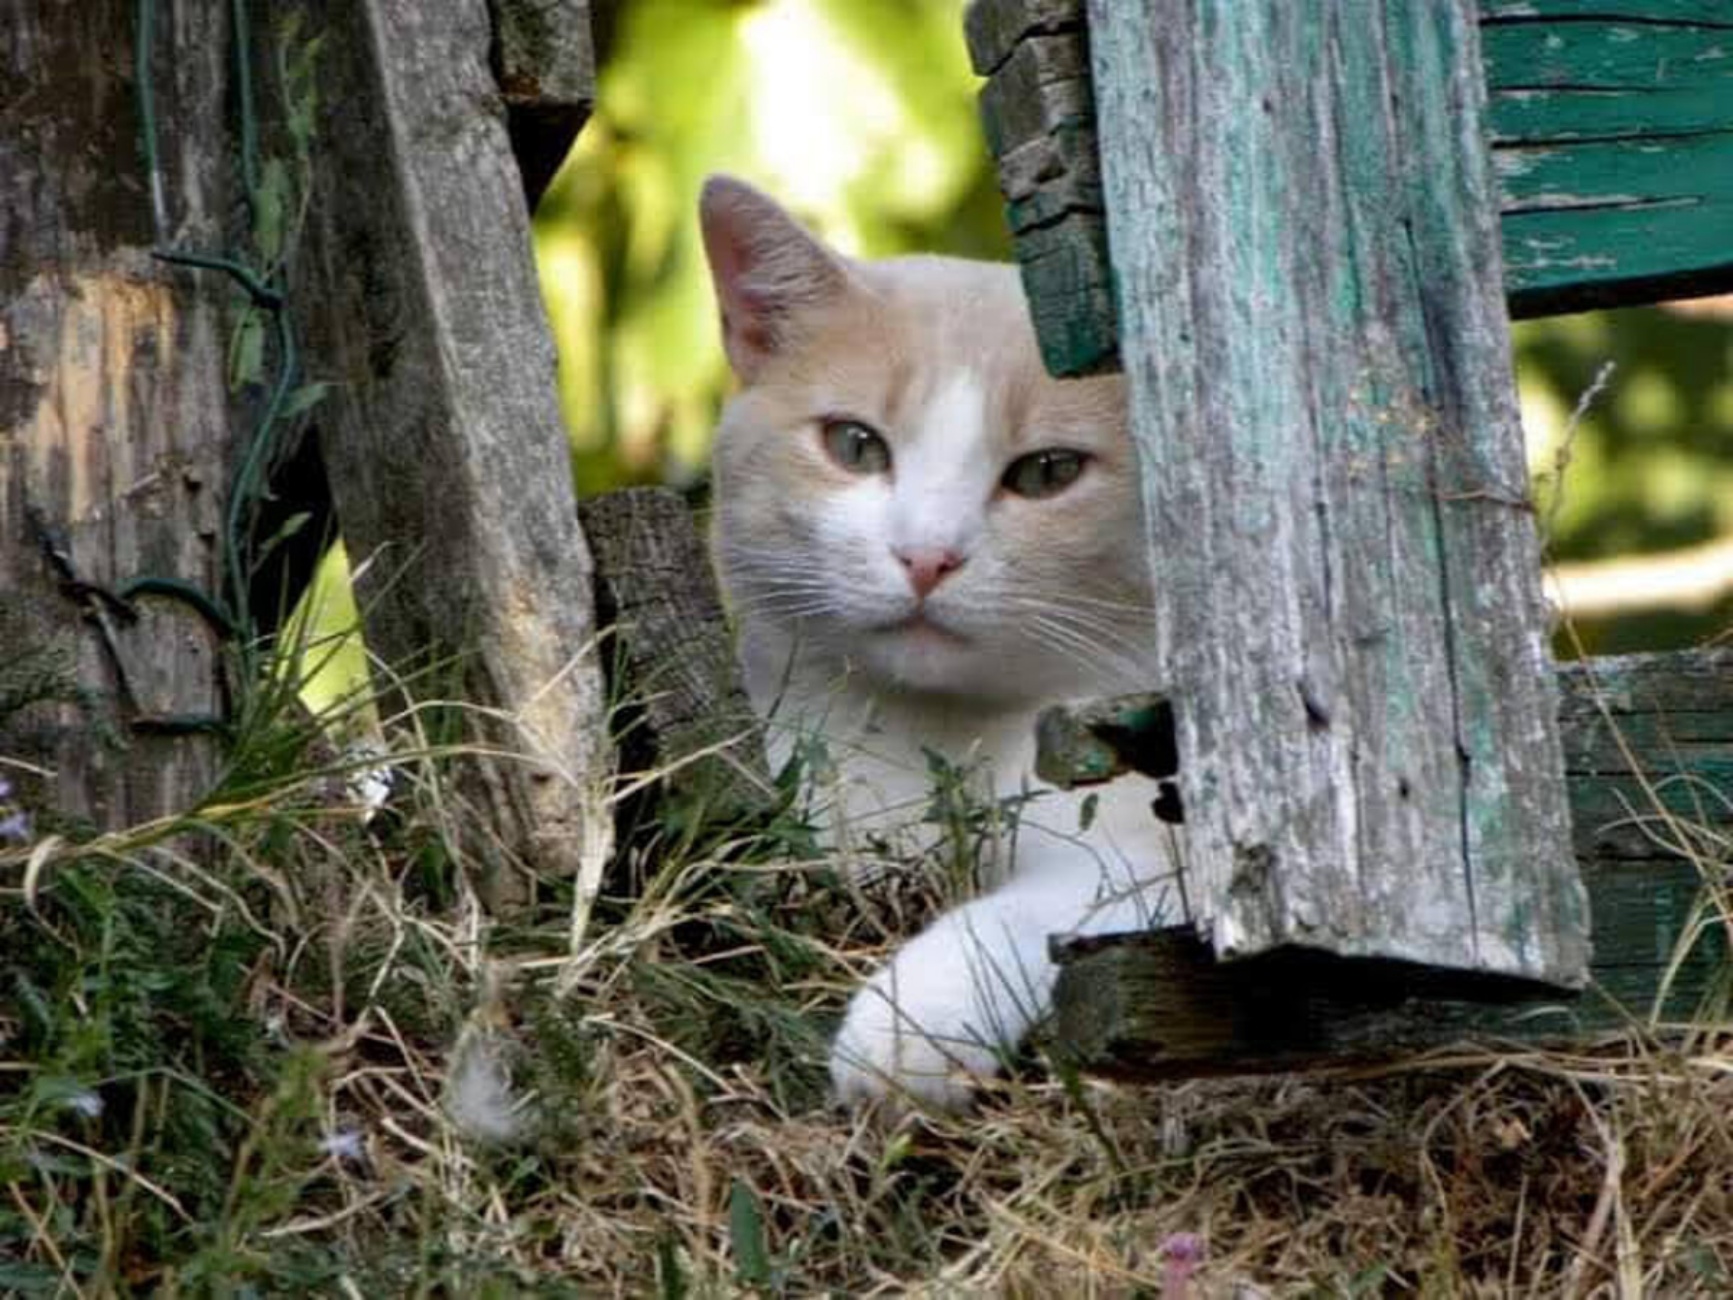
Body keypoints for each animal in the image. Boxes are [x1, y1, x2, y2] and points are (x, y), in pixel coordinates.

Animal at [703, 173, 1178, 1109]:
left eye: (1047, 472)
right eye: (854, 445)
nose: (927, 555)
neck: (936, 736)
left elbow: (1058, 901)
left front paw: (906, 1027)